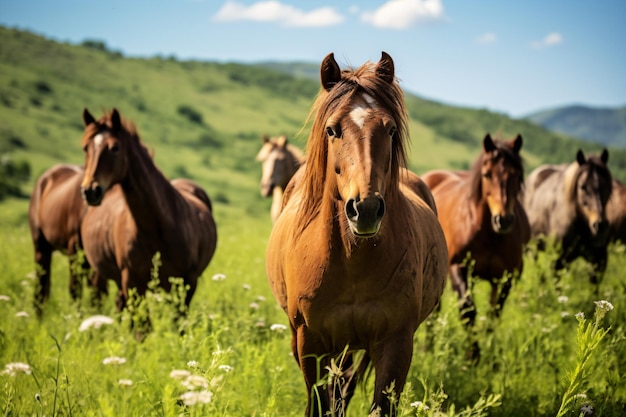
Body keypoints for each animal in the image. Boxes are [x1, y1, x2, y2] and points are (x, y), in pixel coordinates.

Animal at [78, 109, 217, 314]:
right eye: (85, 148)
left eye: (114, 148)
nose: (90, 191)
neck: (158, 227)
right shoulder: (133, 283)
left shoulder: (186, 284)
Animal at [264, 52, 448, 416]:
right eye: (332, 129)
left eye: (390, 129)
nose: (365, 208)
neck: (351, 262)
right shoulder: (310, 343)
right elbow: (320, 403)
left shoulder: (396, 344)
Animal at [420, 135, 528, 360]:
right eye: (487, 174)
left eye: (517, 176)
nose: (503, 220)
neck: (489, 234)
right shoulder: (457, 267)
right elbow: (468, 310)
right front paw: (473, 355)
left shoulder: (507, 278)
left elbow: (494, 313)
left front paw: (488, 352)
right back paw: (429, 348)